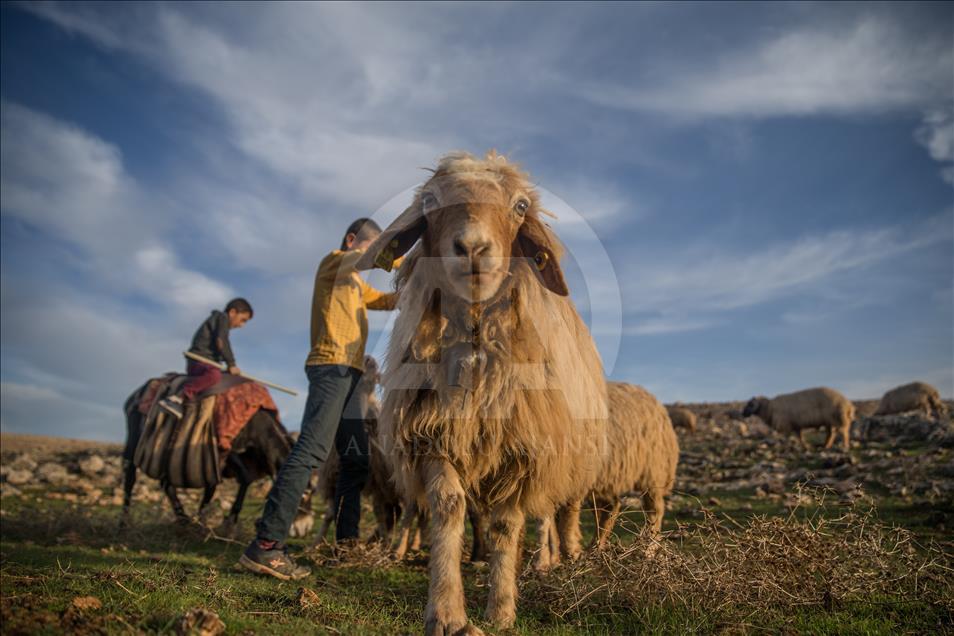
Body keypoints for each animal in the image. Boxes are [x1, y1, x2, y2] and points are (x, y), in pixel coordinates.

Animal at [354, 152, 608, 632]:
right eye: (429, 201)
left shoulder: (524, 449)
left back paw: (552, 562)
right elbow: (449, 506)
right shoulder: (432, 434)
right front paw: (447, 613)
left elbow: (508, 525)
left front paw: (502, 611)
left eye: (521, 206)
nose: (472, 248)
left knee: (549, 516)